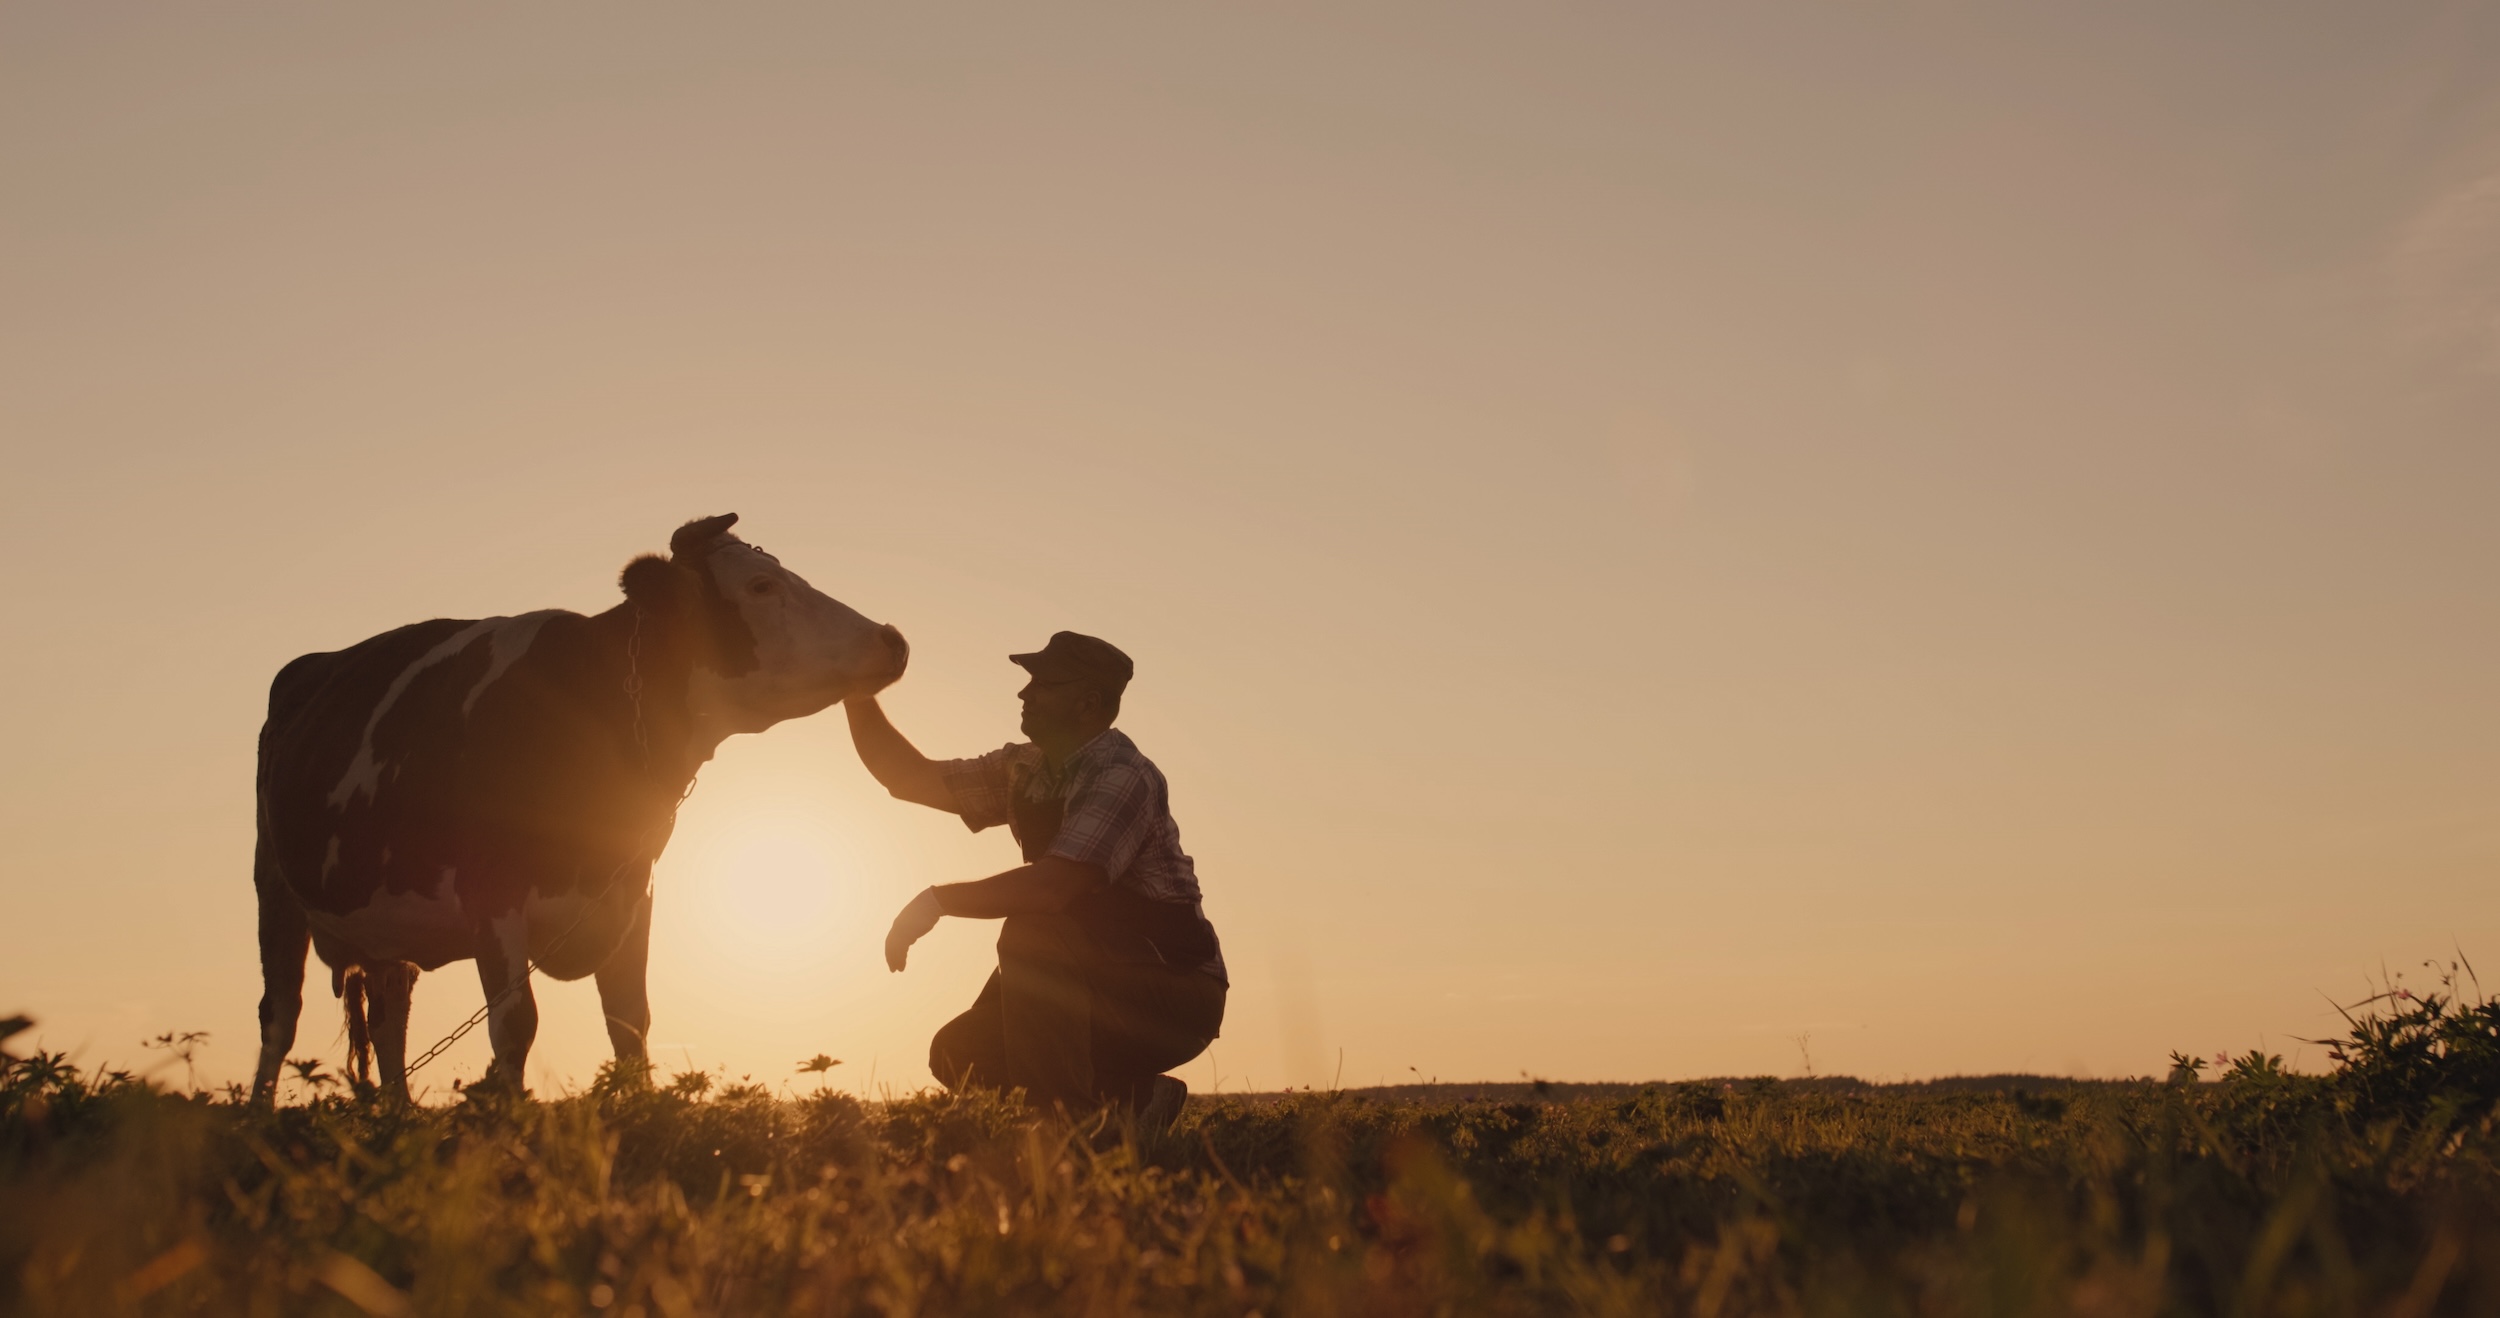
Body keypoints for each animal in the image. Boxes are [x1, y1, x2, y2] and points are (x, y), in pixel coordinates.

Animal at [250, 514, 905, 1104]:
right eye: (761, 586)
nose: (892, 639)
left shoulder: (633, 891)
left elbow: (630, 1021)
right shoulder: (494, 899)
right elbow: (516, 1026)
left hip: (386, 929)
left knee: (390, 1019)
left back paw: (399, 1120)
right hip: (274, 887)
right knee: (279, 1015)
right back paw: (260, 1116)